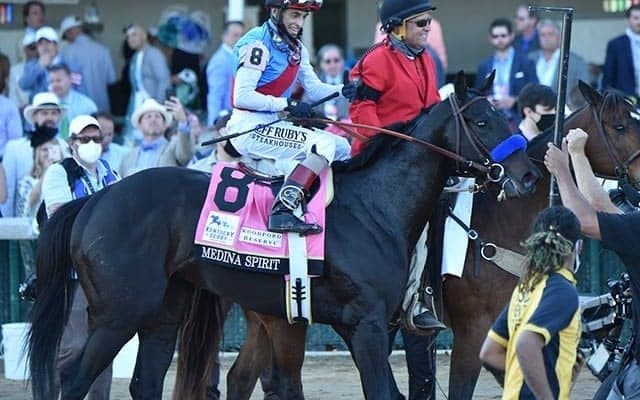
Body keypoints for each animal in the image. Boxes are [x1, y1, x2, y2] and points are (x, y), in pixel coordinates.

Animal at [27, 71, 540, 400]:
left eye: (505, 116)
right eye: (481, 121)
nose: (528, 174)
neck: (376, 205)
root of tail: (96, 199)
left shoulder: (366, 324)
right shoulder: (370, 323)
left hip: (166, 310)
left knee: (146, 382)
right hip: (119, 312)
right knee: (73, 378)